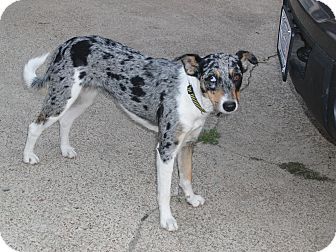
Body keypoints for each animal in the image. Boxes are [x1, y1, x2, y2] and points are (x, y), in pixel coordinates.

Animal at [22, 35, 256, 230]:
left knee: (66, 121)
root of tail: (70, 42)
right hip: (61, 99)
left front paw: (190, 198)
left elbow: (186, 177)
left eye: (237, 76)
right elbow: (164, 192)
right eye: (211, 78)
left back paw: (65, 149)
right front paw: (166, 219)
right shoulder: (166, 150)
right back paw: (28, 156)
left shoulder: (188, 145)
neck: (192, 94)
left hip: (84, 98)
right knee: (35, 126)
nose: (229, 105)